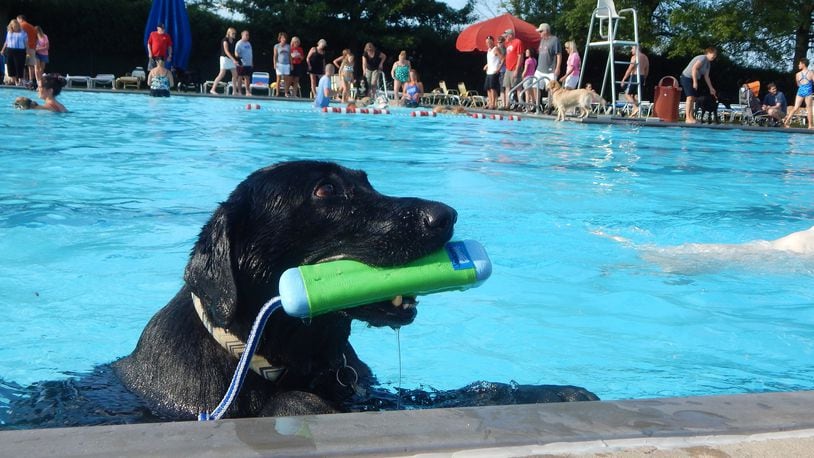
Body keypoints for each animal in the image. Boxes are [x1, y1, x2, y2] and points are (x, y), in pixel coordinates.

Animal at [1, 161, 600, 430]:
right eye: (325, 191)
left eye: (366, 180)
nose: (446, 215)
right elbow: (290, 404)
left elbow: (479, 392)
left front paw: (562, 393)